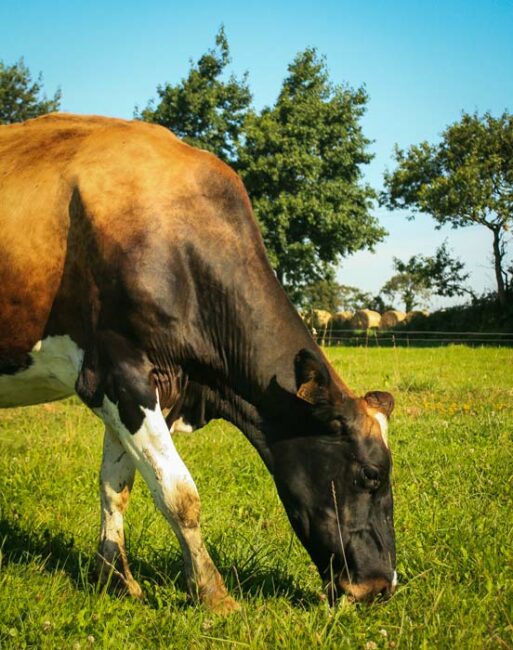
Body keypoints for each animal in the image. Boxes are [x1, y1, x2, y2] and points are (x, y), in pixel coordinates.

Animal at [0, 115, 396, 612]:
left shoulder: (139, 387)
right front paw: (212, 593)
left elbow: (115, 486)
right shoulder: (117, 375)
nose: (381, 586)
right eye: (370, 475)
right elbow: (179, 495)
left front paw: (114, 578)